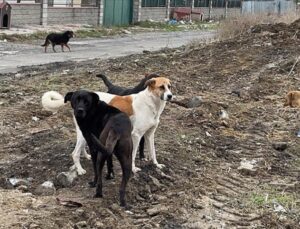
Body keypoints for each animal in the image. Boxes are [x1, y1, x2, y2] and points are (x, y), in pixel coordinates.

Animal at [42, 77, 173, 174]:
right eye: (161, 87)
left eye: (169, 86)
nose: (170, 96)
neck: (151, 102)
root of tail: (75, 96)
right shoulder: (136, 135)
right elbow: (133, 154)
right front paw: (133, 169)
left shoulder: (150, 134)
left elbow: (153, 152)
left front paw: (156, 165)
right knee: (74, 153)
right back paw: (80, 170)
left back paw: (87, 156)